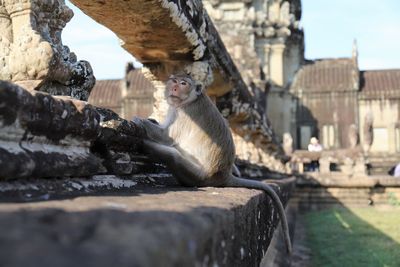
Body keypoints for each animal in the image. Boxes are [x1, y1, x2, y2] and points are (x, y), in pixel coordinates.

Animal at [134, 74, 290, 254]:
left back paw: (148, 146)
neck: (190, 100)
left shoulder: (184, 114)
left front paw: (139, 120)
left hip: (200, 176)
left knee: (173, 155)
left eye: (183, 83)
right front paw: (150, 119)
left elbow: (167, 137)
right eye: (174, 81)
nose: (174, 88)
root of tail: (224, 175)